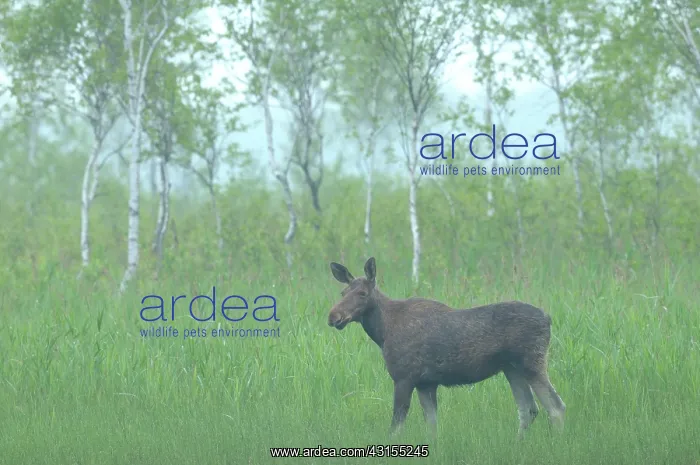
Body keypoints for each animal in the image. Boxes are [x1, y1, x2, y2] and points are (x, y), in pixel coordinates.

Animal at [327, 257, 566, 439]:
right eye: (342, 293)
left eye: (362, 294)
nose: (333, 316)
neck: (383, 332)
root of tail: (548, 319)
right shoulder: (426, 383)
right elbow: (432, 427)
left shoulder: (404, 378)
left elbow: (395, 427)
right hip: (511, 368)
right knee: (528, 409)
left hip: (532, 363)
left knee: (555, 407)